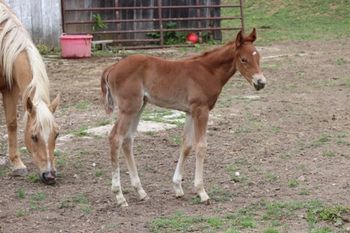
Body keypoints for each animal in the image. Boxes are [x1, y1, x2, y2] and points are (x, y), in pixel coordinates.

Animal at [0, 1, 59, 184]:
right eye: (33, 136)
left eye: (57, 134)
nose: (49, 175)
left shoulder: (9, 88)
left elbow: (12, 123)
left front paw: (17, 165)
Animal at [100, 27, 266, 206]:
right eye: (243, 59)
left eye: (258, 57)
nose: (261, 82)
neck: (208, 71)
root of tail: (113, 67)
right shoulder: (201, 110)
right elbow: (201, 146)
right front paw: (201, 191)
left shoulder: (190, 112)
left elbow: (186, 145)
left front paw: (178, 187)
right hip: (128, 108)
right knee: (115, 138)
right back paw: (119, 196)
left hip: (139, 107)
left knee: (128, 140)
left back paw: (141, 192)